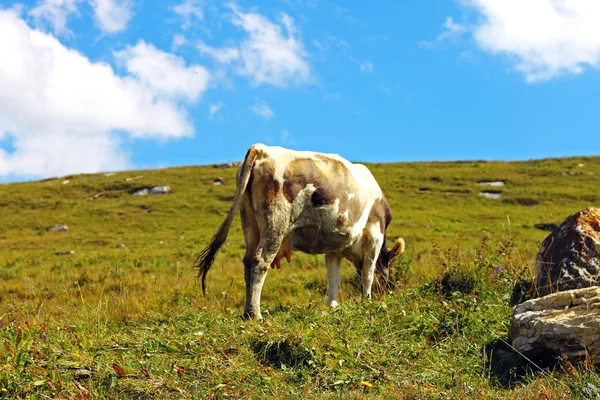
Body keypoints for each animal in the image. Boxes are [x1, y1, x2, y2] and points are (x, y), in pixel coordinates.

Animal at [196, 143, 404, 318]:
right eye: (388, 273)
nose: (386, 292)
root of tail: (262, 148)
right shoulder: (375, 235)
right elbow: (368, 274)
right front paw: (367, 302)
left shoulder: (333, 248)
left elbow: (334, 278)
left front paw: (332, 306)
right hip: (276, 224)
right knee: (259, 262)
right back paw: (255, 314)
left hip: (250, 224)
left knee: (248, 262)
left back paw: (248, 312)